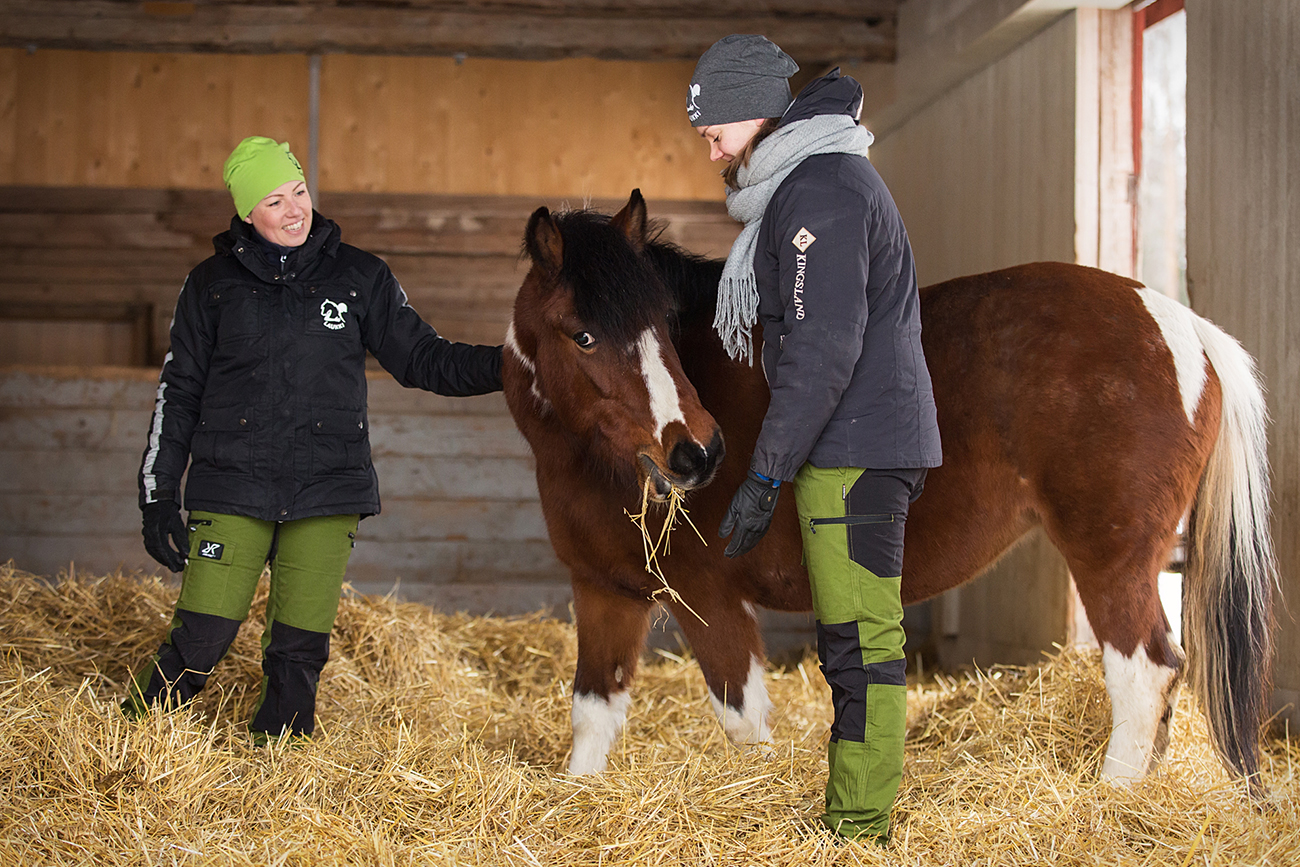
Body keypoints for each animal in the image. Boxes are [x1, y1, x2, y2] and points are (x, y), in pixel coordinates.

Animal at [501, 191, 1274, 795]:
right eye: (583, 334)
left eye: (663, 324)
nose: (697, 452)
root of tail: (1182, 327)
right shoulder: (606, 594)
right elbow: (592, 715)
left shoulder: (709, 599)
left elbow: (743, 722)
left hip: (1111, 558)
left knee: (1144, 671)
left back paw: (1112, 797)